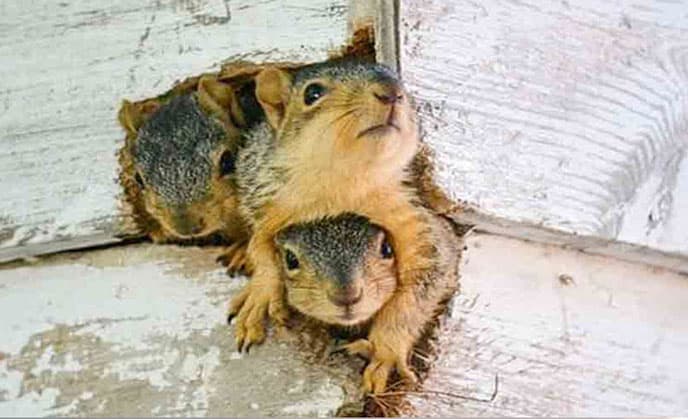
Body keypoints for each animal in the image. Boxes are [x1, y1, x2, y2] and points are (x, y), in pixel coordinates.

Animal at [226, 59, 452, 393]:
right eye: (312, 93)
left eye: (402, 84)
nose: (391, 92)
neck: (343, 184)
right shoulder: (265, 199)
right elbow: (261, 249)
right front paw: (262, 295)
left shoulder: (418, 222)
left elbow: (420, 286)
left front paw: (384, 351)